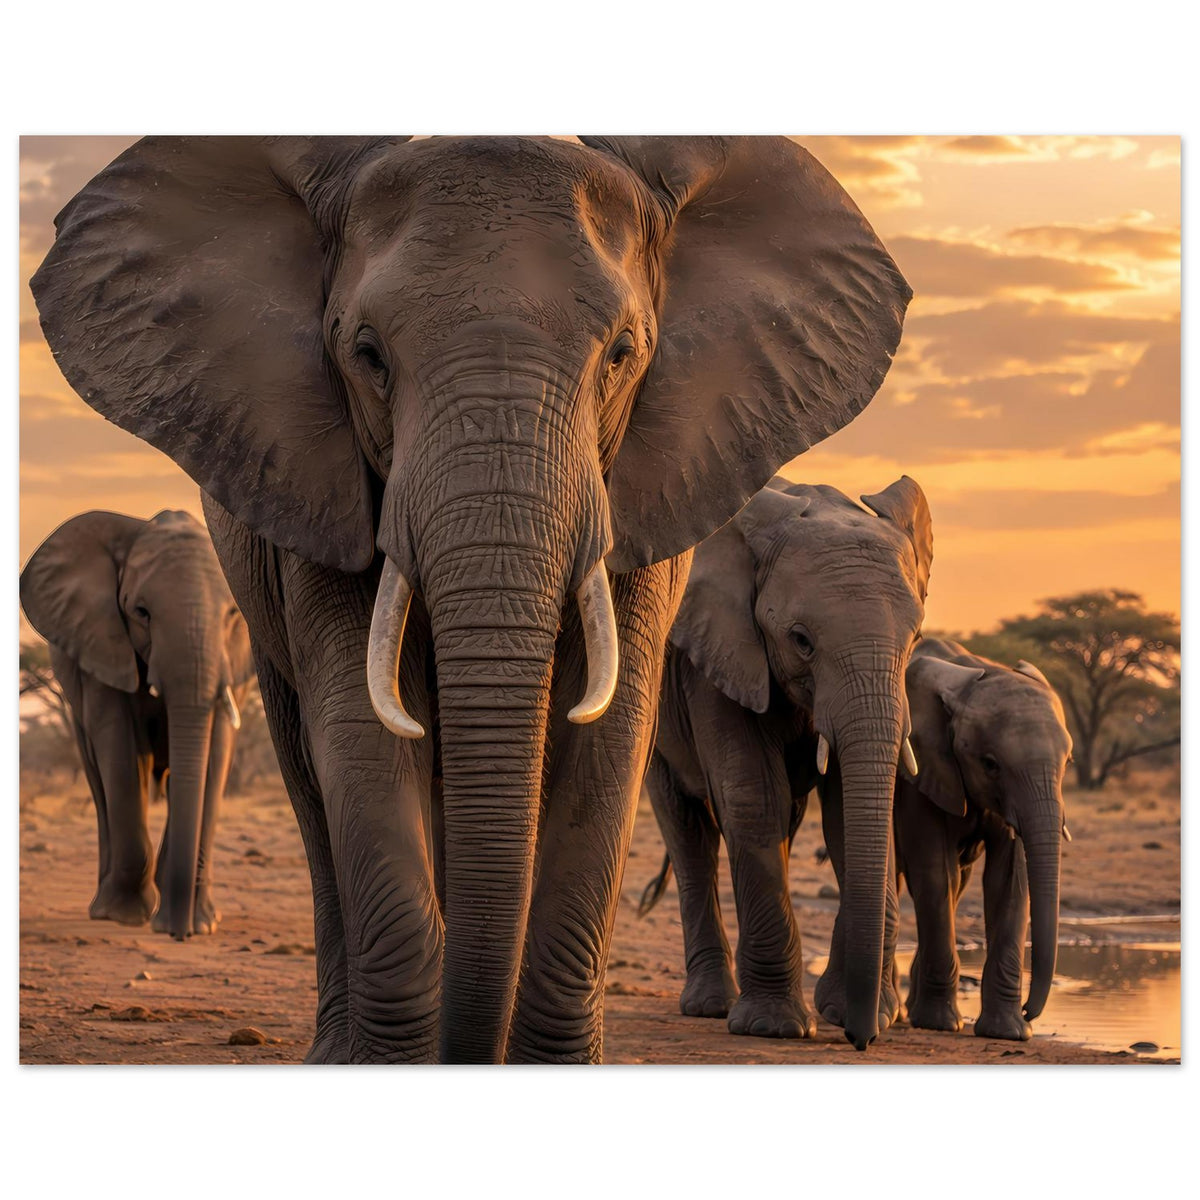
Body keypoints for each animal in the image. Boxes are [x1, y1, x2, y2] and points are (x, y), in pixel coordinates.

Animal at [19, 509, 252, 938]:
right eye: (141, 612)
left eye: (233, 614)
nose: (179, 933)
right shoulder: (100, 643)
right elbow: (121, 747)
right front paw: (126, 916)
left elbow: (215, 751)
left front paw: (203, 924)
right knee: (99, 777)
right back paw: (103, 907)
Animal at [640, 476, 931, 1049]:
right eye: (801, 640)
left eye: (914, 639)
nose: (862, 1040)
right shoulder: (717, 656)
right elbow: (753, 797)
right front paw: (771, 1028)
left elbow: (847, 811)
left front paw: (857, 1012)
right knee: (688, 831)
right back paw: (709, 1006)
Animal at [891, 637, 1072, 1041]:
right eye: (990, 764)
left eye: (1067, 763)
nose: (1030, 1010)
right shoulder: (920, 772)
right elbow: (933, 871)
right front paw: (940, 1024)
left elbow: (1010, 879)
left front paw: (1009, 1032)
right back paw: (895, 1014)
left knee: (958, 883)